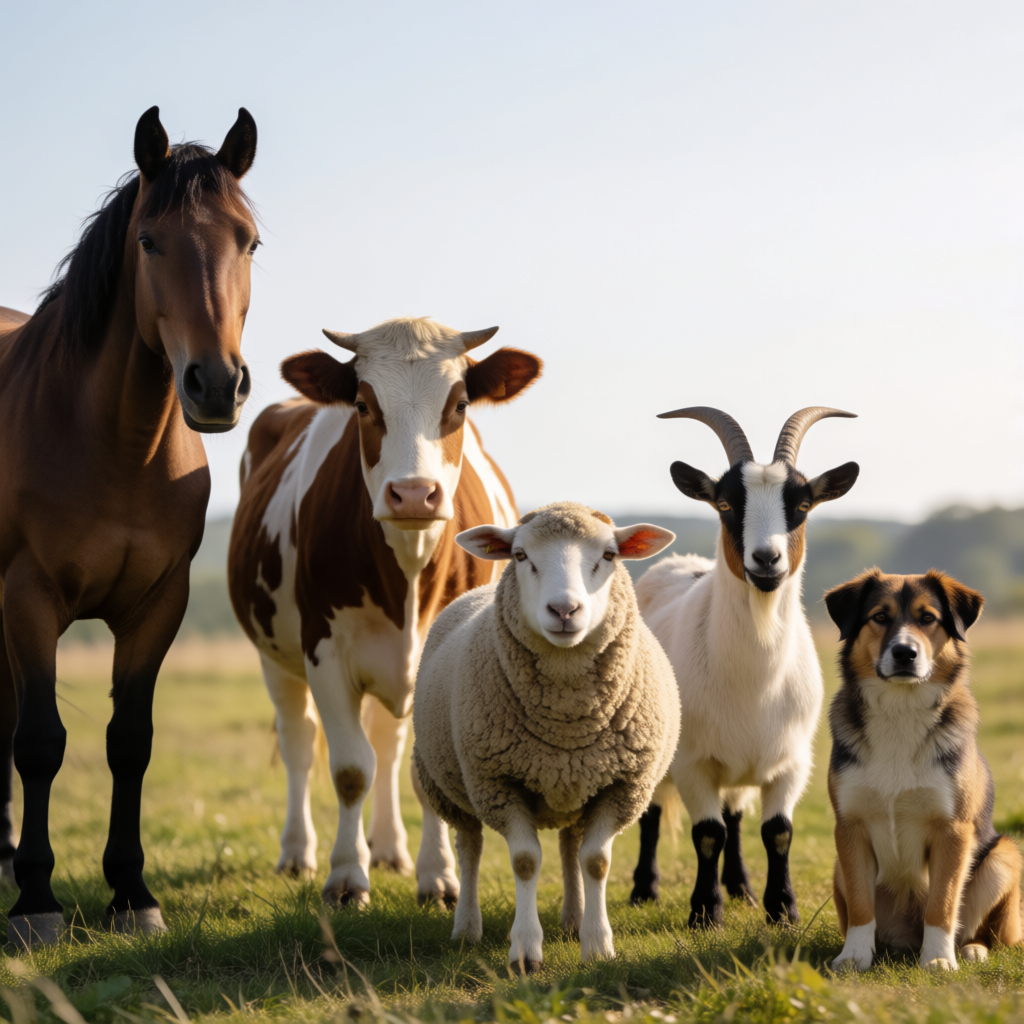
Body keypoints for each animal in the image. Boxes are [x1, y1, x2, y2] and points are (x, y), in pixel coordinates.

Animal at [0, 106, 259, 945]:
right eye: (149, 240)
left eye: (249, 240)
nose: (216, 384)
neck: (114, 443)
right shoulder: (28, 599)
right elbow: (41, 742)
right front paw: (36, 903)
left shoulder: (157, 607)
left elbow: (129, 743)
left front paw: (131, 894)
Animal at [228, 316, 541, 906]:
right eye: (363, 405)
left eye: (460, 404)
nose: (414, 494)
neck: (408, 575)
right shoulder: (324, 654)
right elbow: (351, 769)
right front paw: (347, 878)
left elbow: (425, 771)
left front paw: (437, 877)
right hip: (274, 658)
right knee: (299, 741)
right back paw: (297, 852)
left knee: (389, 746)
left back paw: (391, 848)